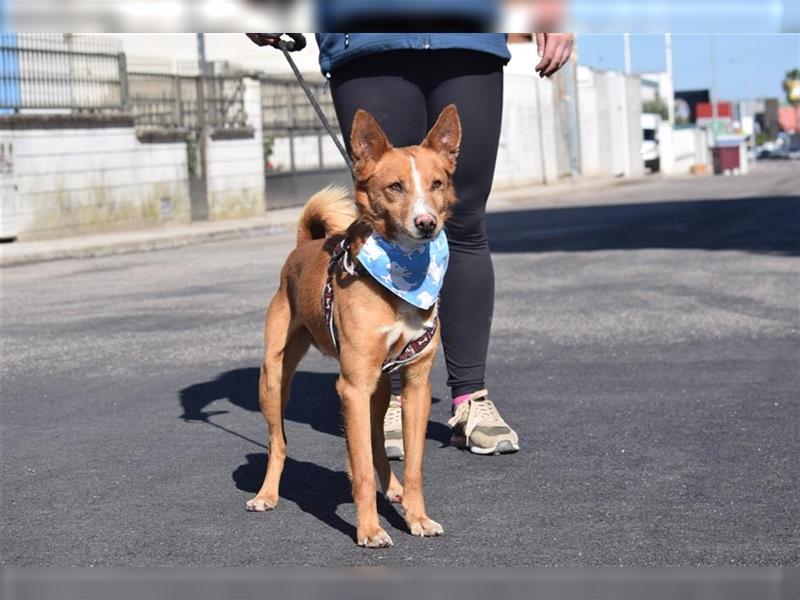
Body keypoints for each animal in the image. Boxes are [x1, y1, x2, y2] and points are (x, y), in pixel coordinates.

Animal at [248, 104, 462, 548]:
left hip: (379, 387)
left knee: (378, 443)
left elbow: (411, 464)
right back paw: (267, 494)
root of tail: (303, 246)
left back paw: (394, 489)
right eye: (395, 187)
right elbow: (360, 468)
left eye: (437, 184)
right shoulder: (352, 387)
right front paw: (369, 529)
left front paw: (417, 517)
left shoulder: (415, 386)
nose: (427, 223)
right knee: (278, 443)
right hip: (274, 379)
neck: (402, 274)